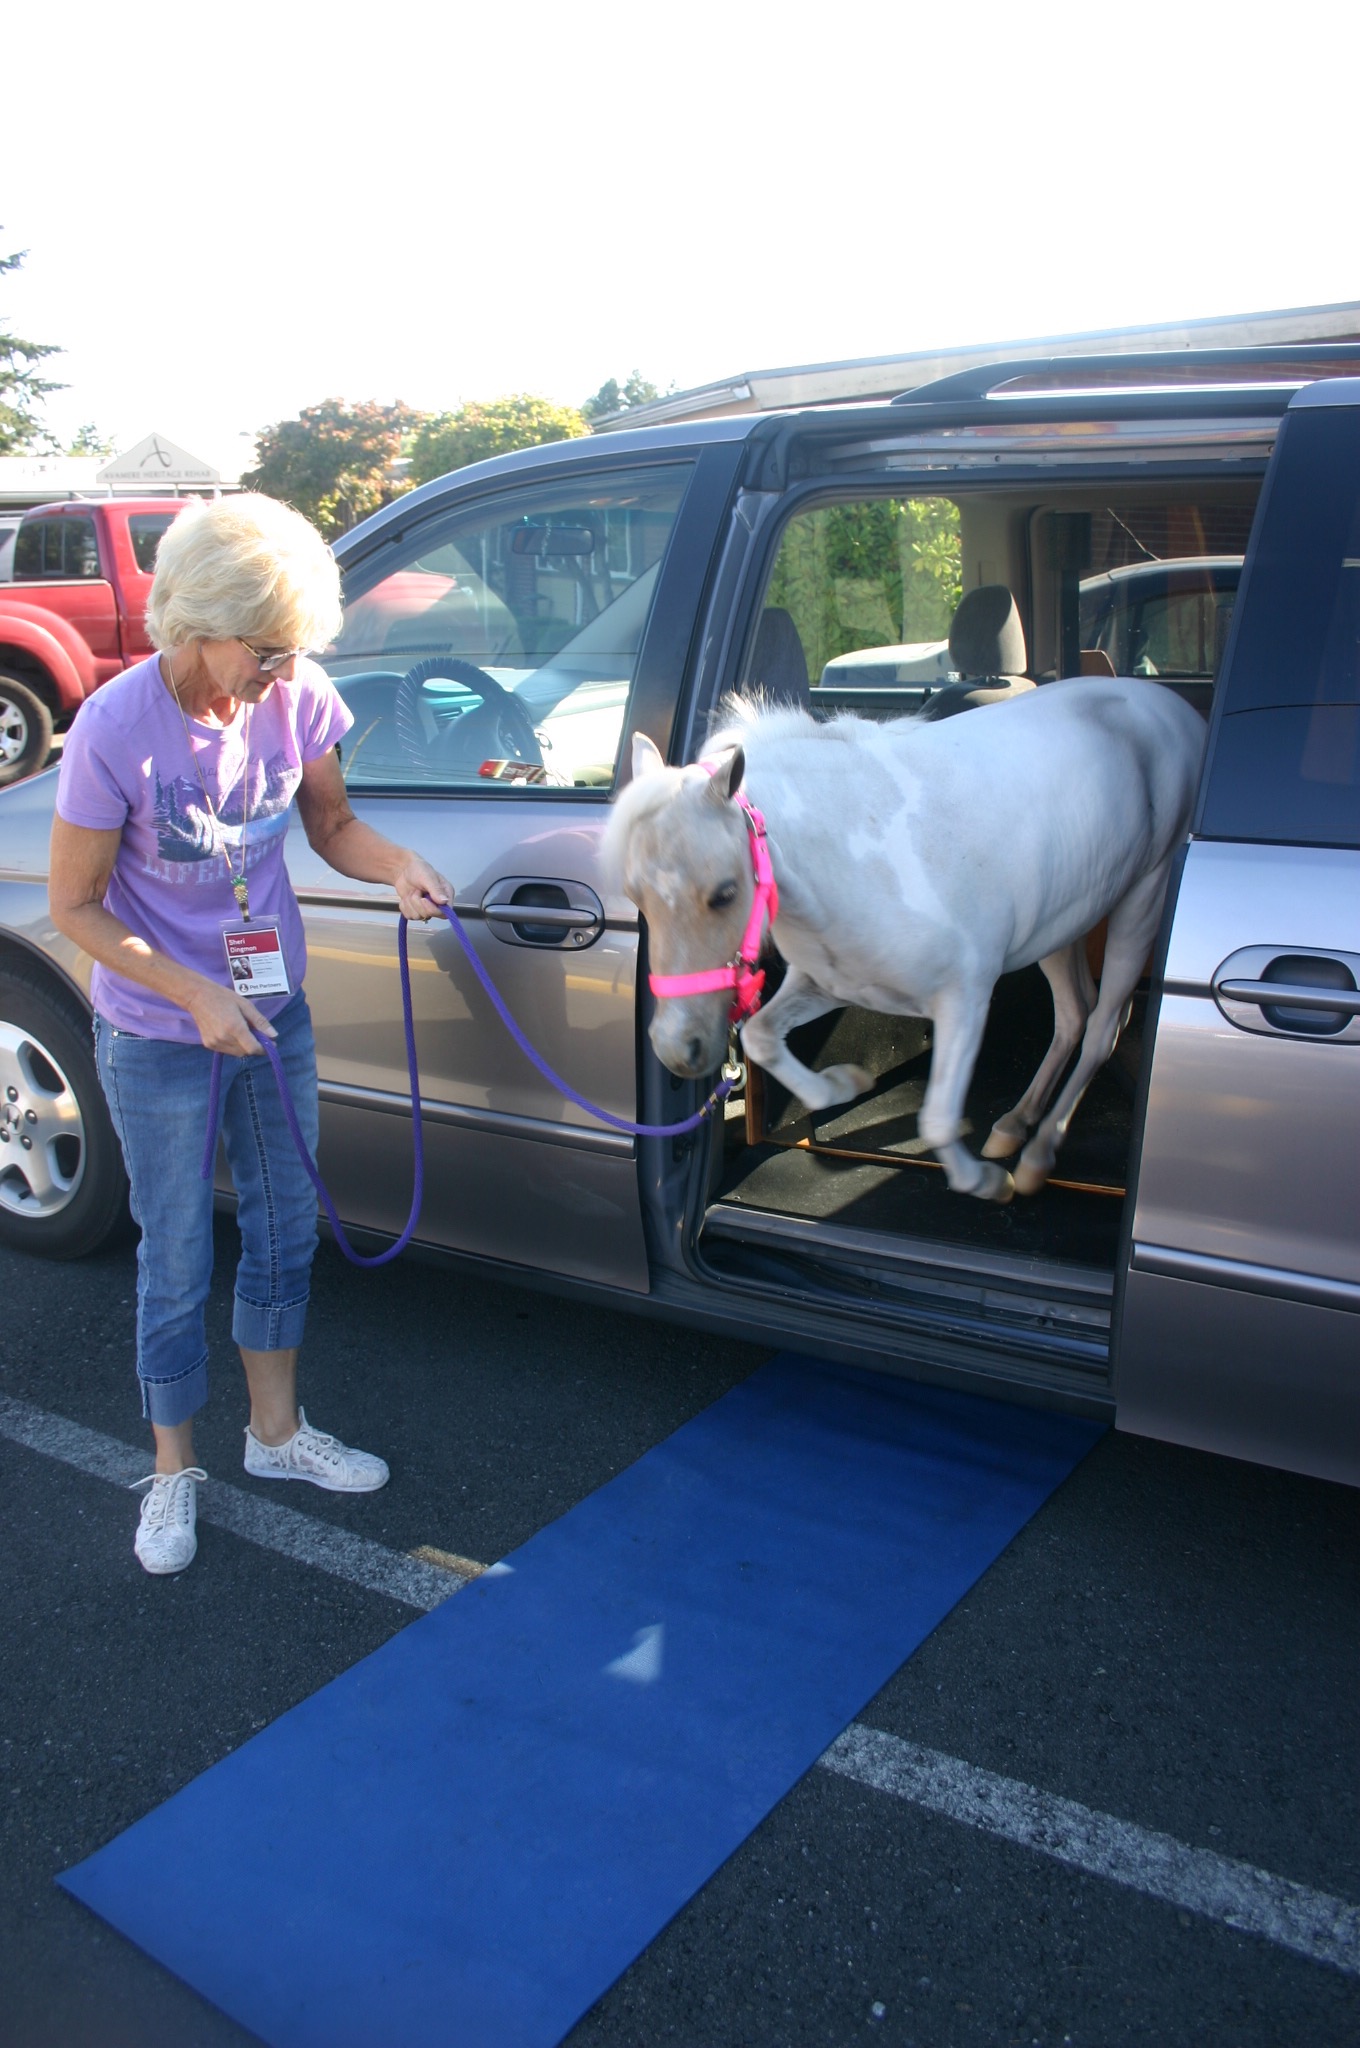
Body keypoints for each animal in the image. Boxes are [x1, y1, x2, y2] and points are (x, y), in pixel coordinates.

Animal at [602, 679, 1204, 1196]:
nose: (677, 1050)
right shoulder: (828, 983)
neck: (862, 855)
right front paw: (844, 1085)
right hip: (1062, 924)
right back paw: (1017, 1123)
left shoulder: (965, 999)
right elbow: (761, 1037)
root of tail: (1174, 707)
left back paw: (1036, 1155)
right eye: (634, 893)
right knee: (1075, 1014)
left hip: (1142, 901)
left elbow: (936, 1120)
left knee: (1101, 1029)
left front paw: (986, 1182)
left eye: (725, 893)